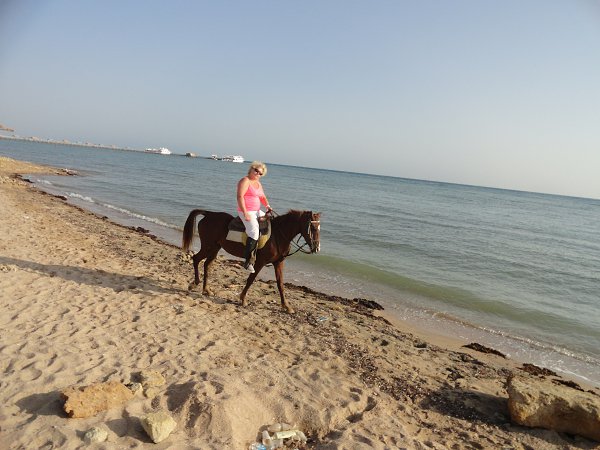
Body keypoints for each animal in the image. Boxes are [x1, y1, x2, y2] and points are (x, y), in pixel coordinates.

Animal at [182, 209, 321, 313]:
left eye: (319, 228)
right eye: (313, 228)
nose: (317, 248)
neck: (278, 235)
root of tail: (209, 214)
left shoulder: (278, 263)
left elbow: (280, 284)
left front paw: (287, 306)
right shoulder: (260, 262)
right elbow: (251, 279)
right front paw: (243, 299)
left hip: (215, 247)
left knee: (206, 264)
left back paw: (206, 289)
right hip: (208, 246)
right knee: (196, 259)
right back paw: (195, 283)